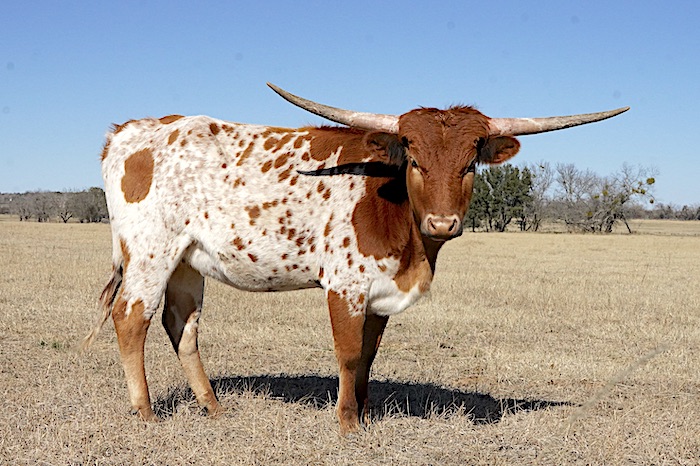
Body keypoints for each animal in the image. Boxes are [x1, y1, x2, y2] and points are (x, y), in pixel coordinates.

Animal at [83, 83, 628, 434]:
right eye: (413, 159)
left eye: (470, 162)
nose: (443, 224)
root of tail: (131, 130)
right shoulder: (345, 286)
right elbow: (346, 353)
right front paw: (346, 424)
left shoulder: (380, 293)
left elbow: (368, 355)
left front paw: (365, 416)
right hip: (150, 252)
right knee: (131, 317)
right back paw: (145, 412)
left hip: (187, 261)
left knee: (183, 326)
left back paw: (213, 408)